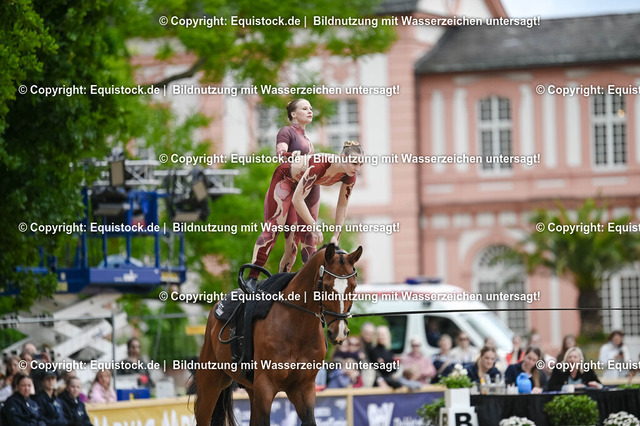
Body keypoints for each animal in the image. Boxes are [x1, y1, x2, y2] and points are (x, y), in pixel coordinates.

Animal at [195, 243, 362, 426]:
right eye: (325, 286)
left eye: (353, 286)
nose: (339, 332)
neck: (297, 327)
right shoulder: (265, 387)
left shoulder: (303, 389)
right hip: (210, 385)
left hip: (251, 390)